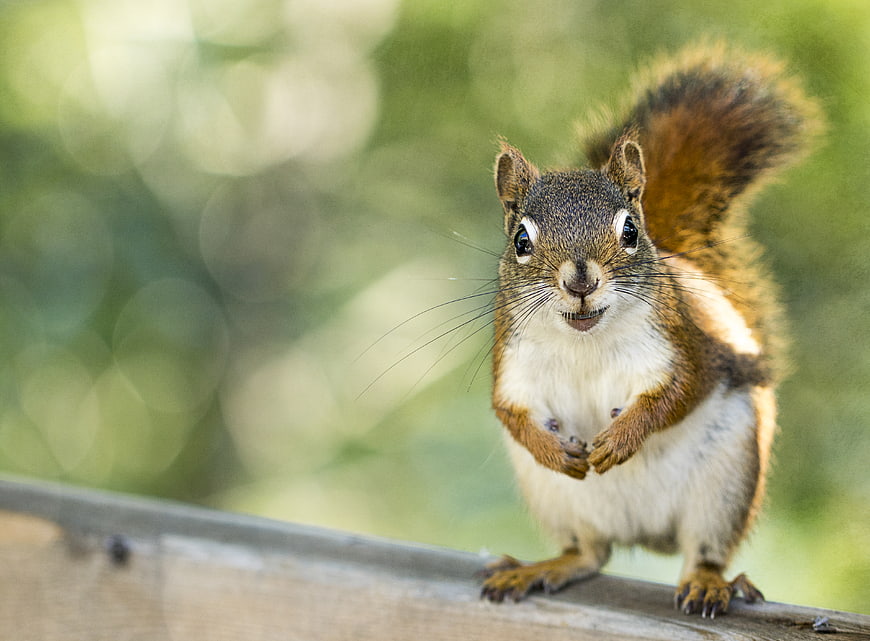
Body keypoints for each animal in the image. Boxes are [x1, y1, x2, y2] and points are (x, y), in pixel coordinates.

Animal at [478, 43, 821, 617]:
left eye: (630, 231)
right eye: (521, 240)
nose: (580, 280)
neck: (586, 340)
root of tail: (644, 534)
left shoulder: (683, 346)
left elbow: (681, 392)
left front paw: (621, 438)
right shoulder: (513, 364)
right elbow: (508, 412)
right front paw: (554, 449)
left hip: (724, 483)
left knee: (704, 550)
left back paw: (708, 583)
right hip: (557, 500)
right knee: (588, 554)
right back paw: (541, 567)